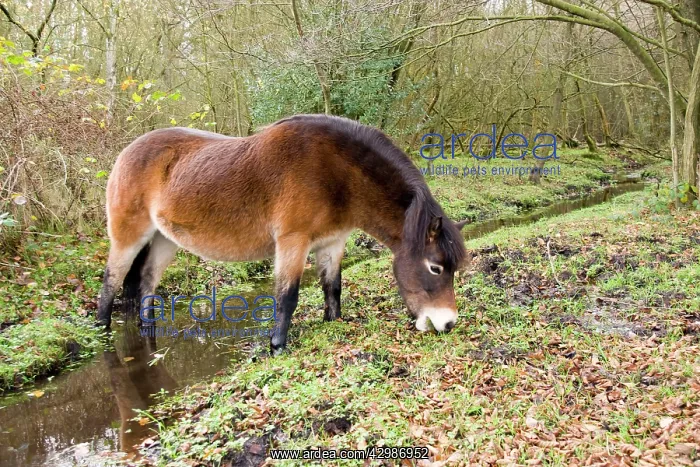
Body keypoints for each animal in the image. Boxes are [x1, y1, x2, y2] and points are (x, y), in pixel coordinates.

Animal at [97, 114, 469, 354]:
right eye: (435, 267)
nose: (448, 323)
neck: (334, 174)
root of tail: (125, 153)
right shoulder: (293, 242)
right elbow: (287, 296)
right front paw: (277, 346)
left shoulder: (332, 243)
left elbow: (332, 288)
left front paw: (333, 324)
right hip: (128, 238)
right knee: (110, 285)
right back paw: (101, 333)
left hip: (164, 241)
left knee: (145, 284)